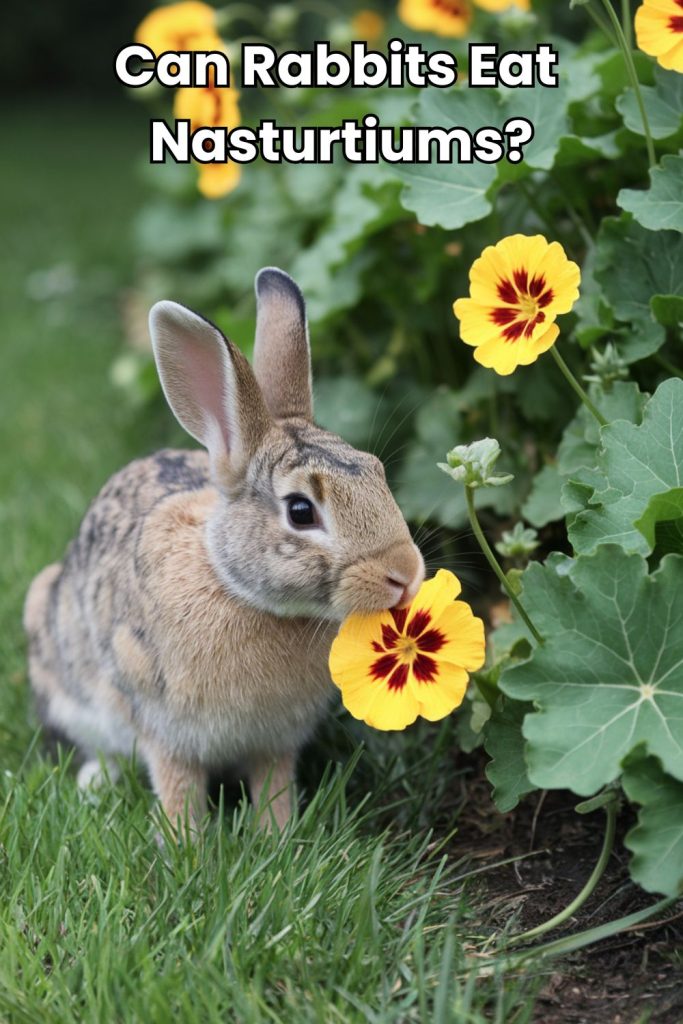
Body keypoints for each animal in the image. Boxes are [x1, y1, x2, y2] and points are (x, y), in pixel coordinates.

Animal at [24, 270, 423, 831]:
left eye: (377, 473)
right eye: (301, 511)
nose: (406, 574)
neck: (239, 590)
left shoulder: (275, 741)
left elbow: (274, 786)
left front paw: (279, 836)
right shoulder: (166, 730)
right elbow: (177, 788)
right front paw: (185, 843)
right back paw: (94, 785)